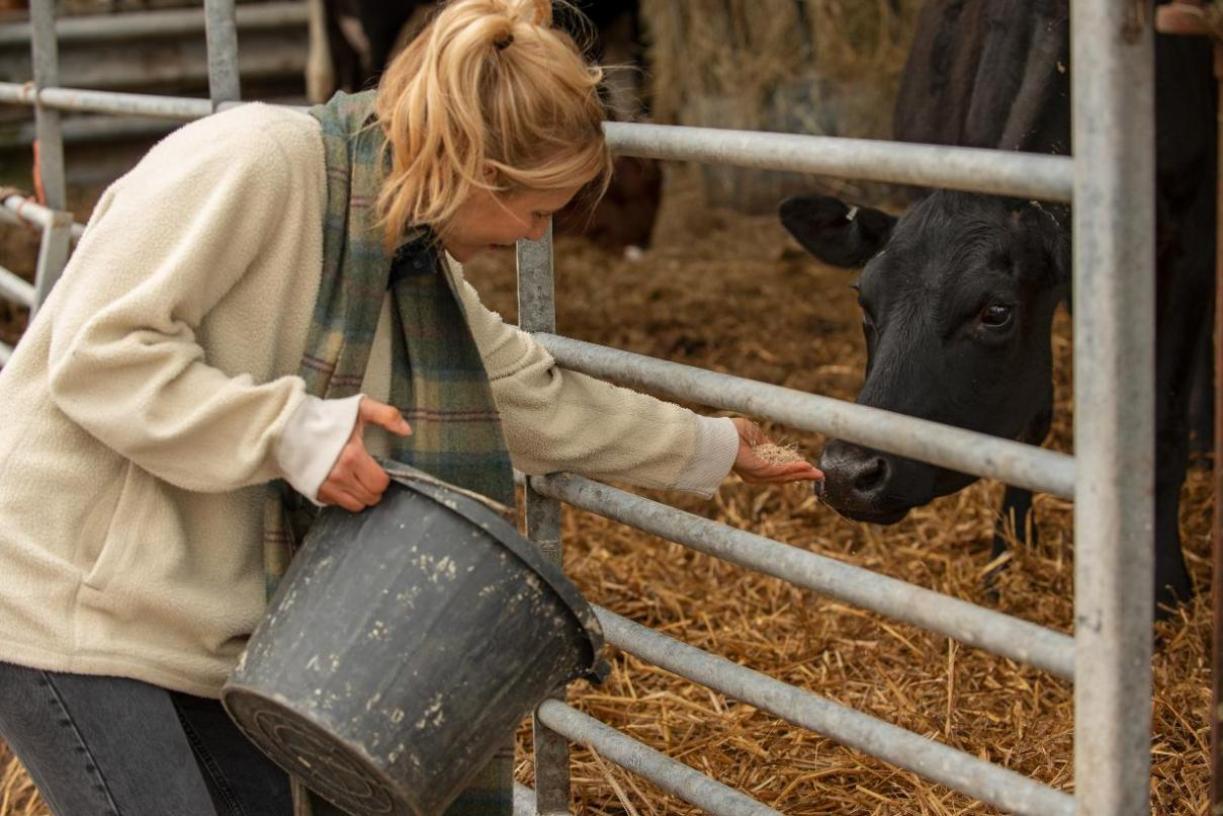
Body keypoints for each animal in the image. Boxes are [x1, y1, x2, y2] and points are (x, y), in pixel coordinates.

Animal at [782, 0, 1213, 611]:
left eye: (994, 312)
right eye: (864, 303)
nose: (847, 473)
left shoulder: (1188, 236)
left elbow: (1164, 426)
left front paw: (1167, 583)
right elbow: (1033, 415)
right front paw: (1009, 551)